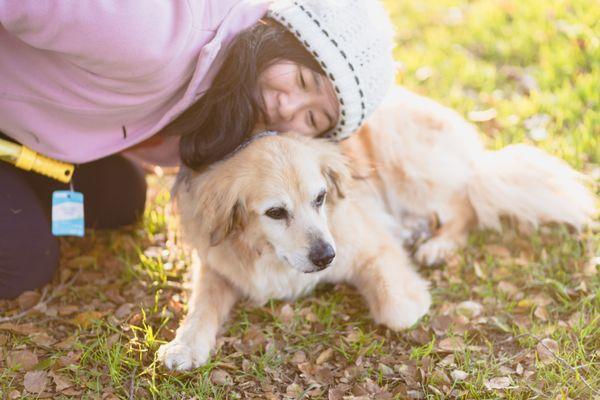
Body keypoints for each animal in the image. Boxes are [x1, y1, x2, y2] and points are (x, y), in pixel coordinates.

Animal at [158, 134, 432, 372]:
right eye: (275, 212)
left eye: (320, 198)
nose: (326, 257)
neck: (271, 255)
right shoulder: (215, 267)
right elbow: (202, 305)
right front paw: (185, 345)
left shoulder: (373, 247)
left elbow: (398, 311)